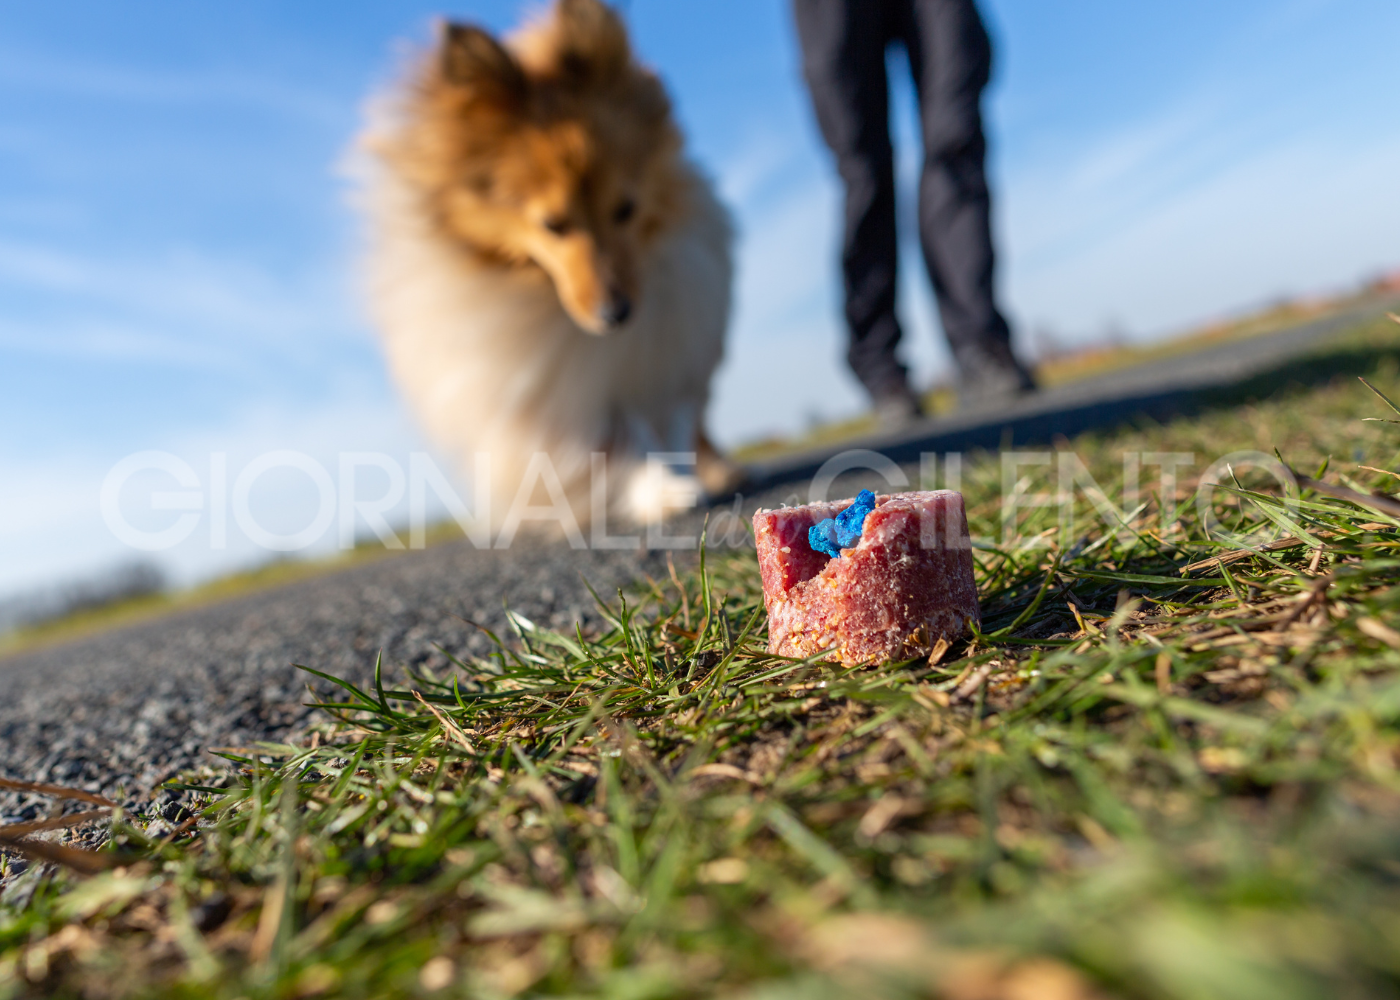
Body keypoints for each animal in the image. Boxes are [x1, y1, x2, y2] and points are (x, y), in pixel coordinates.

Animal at [355, 0, 739, 529]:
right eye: (553, 224)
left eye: (626, 208)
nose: (616, 314)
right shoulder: (556, 391)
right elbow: (621, 435)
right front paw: (662, 493)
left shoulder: (670, 351)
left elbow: (671, 418)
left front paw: (683, 478)